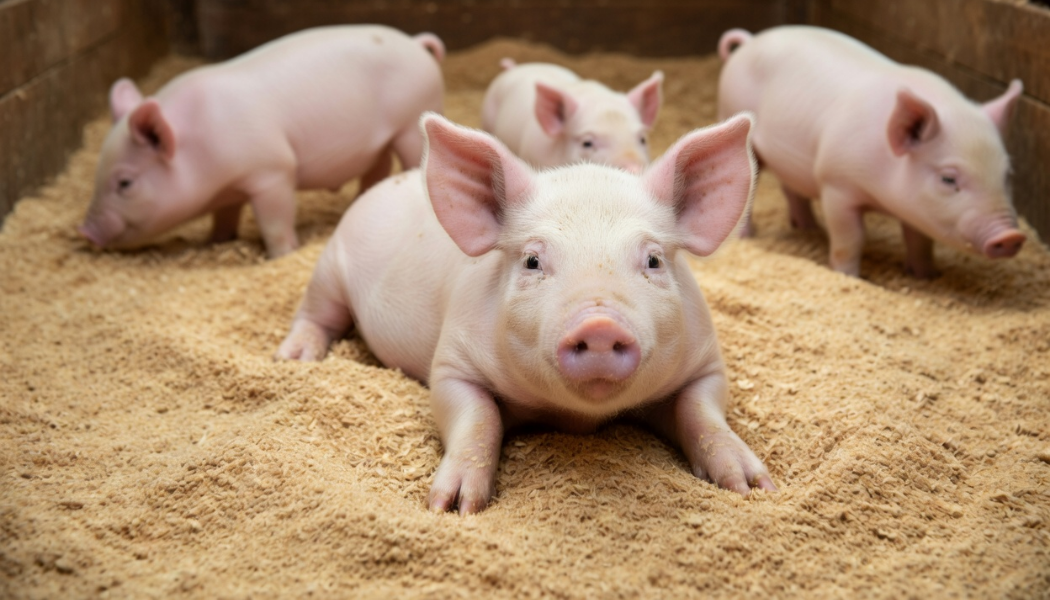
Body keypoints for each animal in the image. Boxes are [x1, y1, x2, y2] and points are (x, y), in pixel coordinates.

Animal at [79, 25, 446, 259]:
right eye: (96, 175)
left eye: (125, 183)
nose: (85, 231)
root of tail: (415, 44)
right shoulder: (228, 190)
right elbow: (225, 216)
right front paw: (214, 241)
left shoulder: (273, 171)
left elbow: (274, 220)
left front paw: (283, 253)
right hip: (379, 143)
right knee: (378, 166)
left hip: (410, 124)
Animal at [275, 112, 775, 513]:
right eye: (533, 261)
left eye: (653, 260)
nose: (599, 323)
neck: (577, 417)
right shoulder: (452, 362)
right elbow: (477, 417)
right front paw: (453, 506)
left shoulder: (706, 361)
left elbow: (703, 411)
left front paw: (753, 486)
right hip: (329, 267)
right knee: (316, 312)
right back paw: (295, 358)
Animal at [717, 26, 1026, 278]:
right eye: (948, 179)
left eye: (1007, 175)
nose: (1012, 236)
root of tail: (751, 40)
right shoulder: (835, 184)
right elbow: (851, 238)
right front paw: (849, 276)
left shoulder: (914, 208)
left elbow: (920, 241)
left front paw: (926, 276)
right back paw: (748, 237)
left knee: (791, 187)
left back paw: (809, 228)